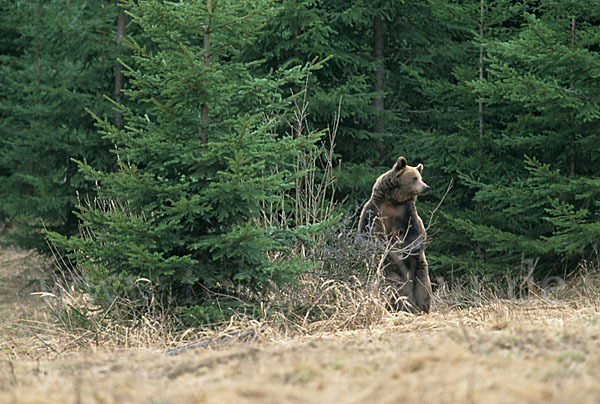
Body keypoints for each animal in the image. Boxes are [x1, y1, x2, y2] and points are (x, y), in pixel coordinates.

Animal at [356, 156, 432, 314]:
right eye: (415, 178)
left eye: (420, 177)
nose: (426, 187)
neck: (394, 200)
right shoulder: (374, 210)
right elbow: (364, 234)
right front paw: (380, 247)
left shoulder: (407, 213)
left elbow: (416, 233)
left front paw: (406, 250)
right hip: (388, 273)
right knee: (391, 289)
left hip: (419, 268)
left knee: (423, 289)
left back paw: (420, 308)